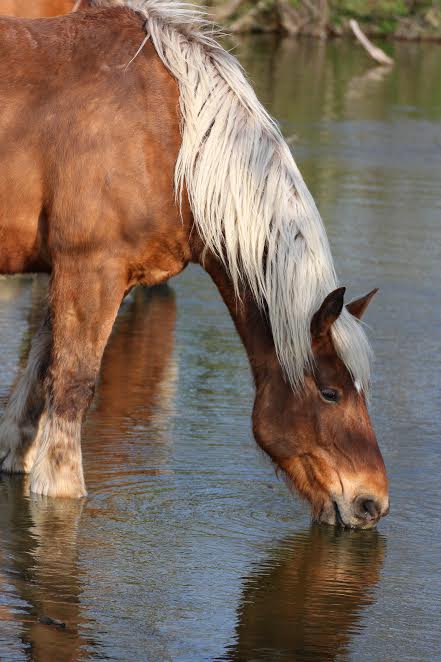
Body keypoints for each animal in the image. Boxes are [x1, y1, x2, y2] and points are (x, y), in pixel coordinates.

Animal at [0, 0, 388, 528]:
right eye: (330, 392)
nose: (373, 503)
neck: (170, 136)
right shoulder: (90, 269)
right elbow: (72, 387)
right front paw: (59, 487)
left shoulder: (72, 274)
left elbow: (39, 373)